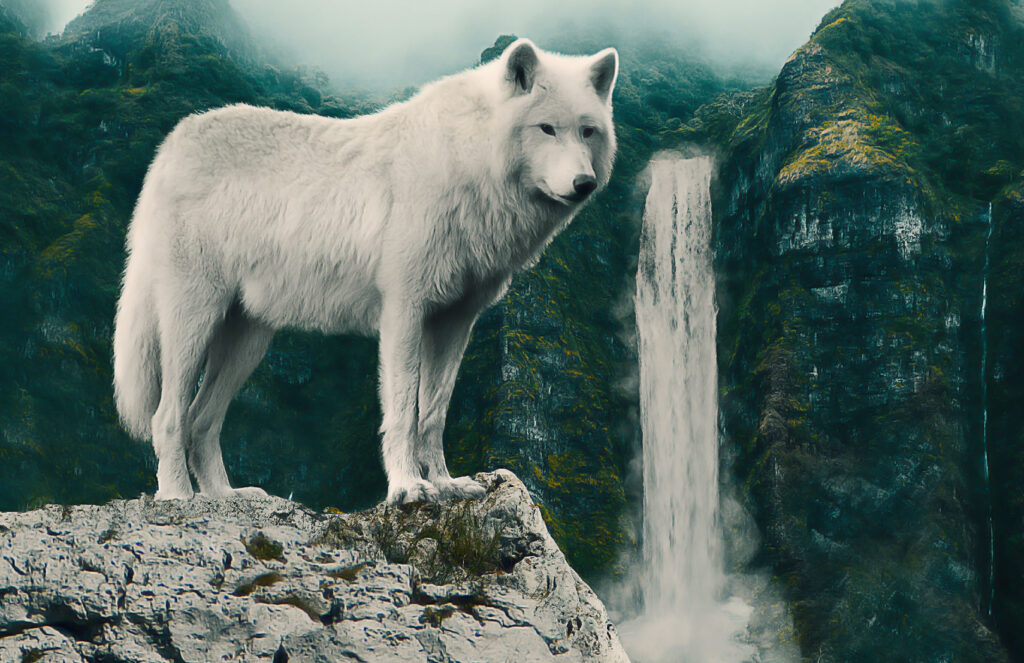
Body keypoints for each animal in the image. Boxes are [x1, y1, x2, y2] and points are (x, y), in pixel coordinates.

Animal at [112, 38, 618, 504]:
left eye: (588, 132)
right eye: (546, 128)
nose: (584, 184)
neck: (468, 162)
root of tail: (171, 145)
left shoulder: (455, 321)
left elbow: (434, 414)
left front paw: (445, 484)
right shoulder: (404, 311)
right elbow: (403, 412)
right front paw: (408, 487)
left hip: (248, 340)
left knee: (201, 421)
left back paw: (225, 497)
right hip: (194, 323)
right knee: (168, 417)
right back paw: (177, 497)